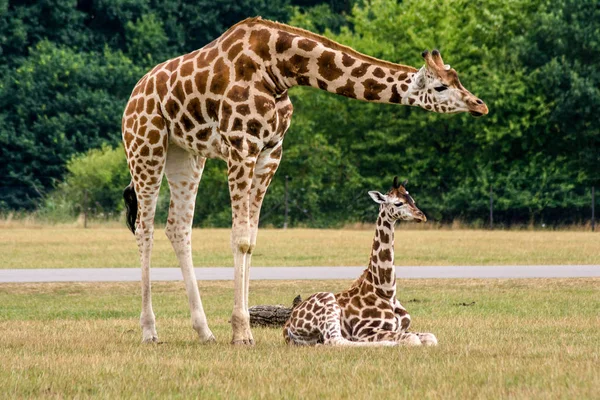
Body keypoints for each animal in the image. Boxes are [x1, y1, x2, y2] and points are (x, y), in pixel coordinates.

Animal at [284, 178, 438, 346]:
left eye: (412, 200)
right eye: (398, 203)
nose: (421, 216)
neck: (386, 292)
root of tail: (287, 329)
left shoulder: (402, 329)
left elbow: (431, 337)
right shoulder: (364, 331)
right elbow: (413, 339)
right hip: (328, 302)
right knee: (336, 341)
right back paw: (389, 344)